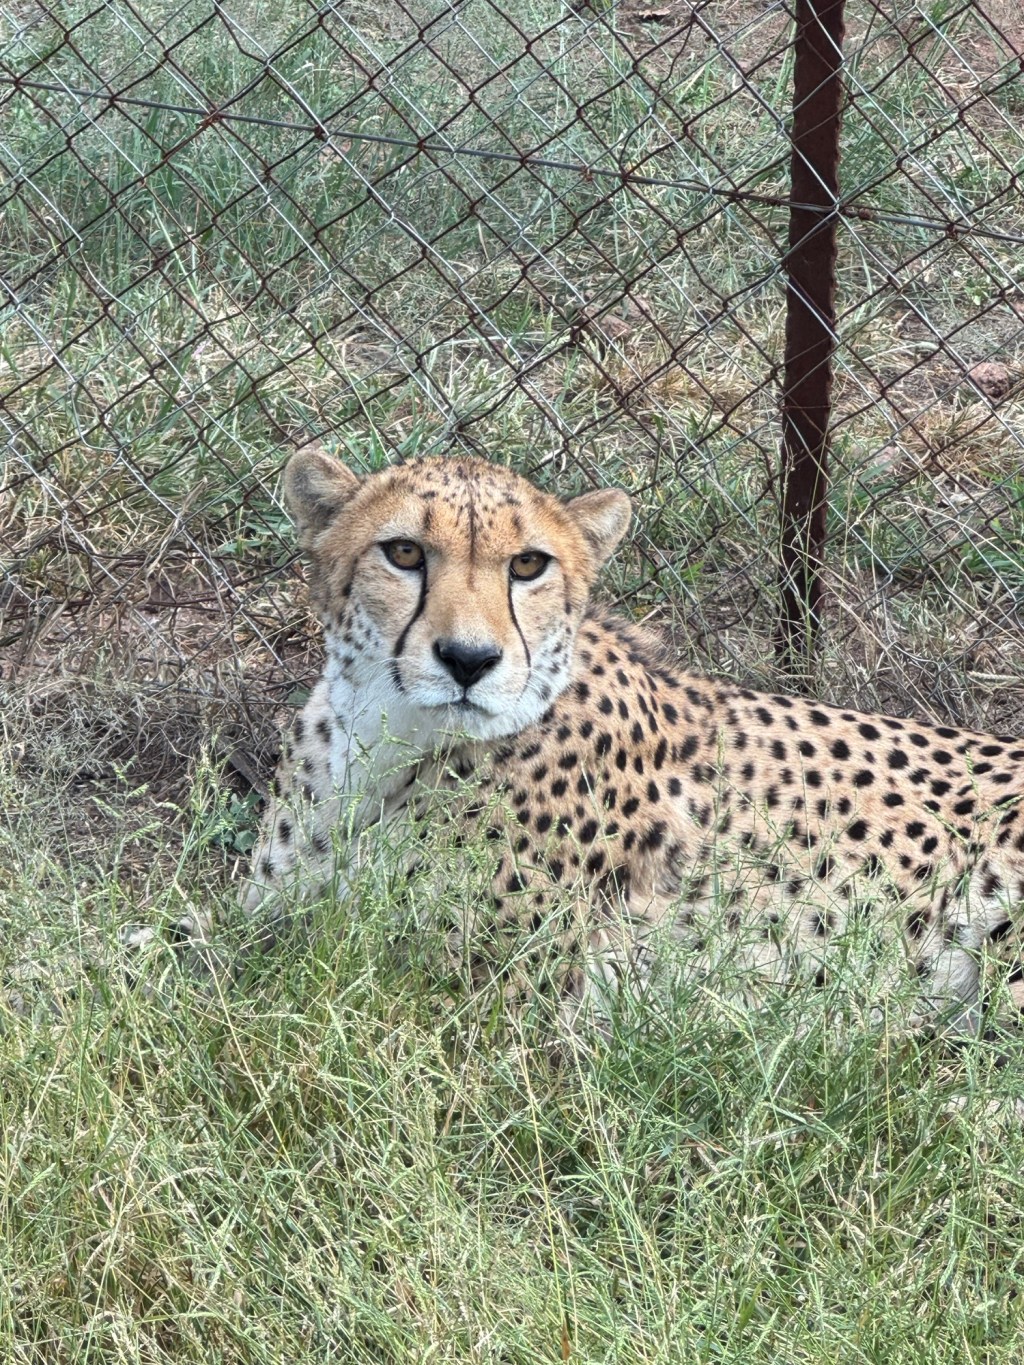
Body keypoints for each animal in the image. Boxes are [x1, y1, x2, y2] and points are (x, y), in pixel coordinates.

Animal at [232, 443, 1024, 1029]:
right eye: (403, 553)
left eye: (528, 564)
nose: (469, 660)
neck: (389, 739)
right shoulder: (262, 927)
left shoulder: (510, 1005)